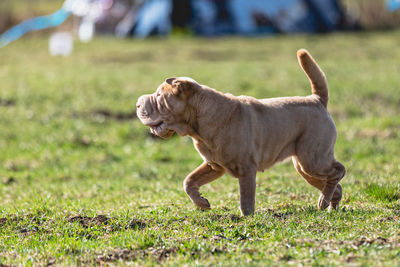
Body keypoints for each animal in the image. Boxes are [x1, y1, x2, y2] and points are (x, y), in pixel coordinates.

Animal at [137, 49, 344, 216]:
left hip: (313, 160)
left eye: (158, 96)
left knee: (339, 171)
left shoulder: (246, 168)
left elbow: (246, 199)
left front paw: (247, 217)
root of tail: (316, 99)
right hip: (304, 165)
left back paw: (324, 201)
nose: (138, 103)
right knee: (334, 183)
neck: (197, 124)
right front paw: (202, 203)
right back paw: (330, 204)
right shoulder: (214, 165)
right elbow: (188, 181)